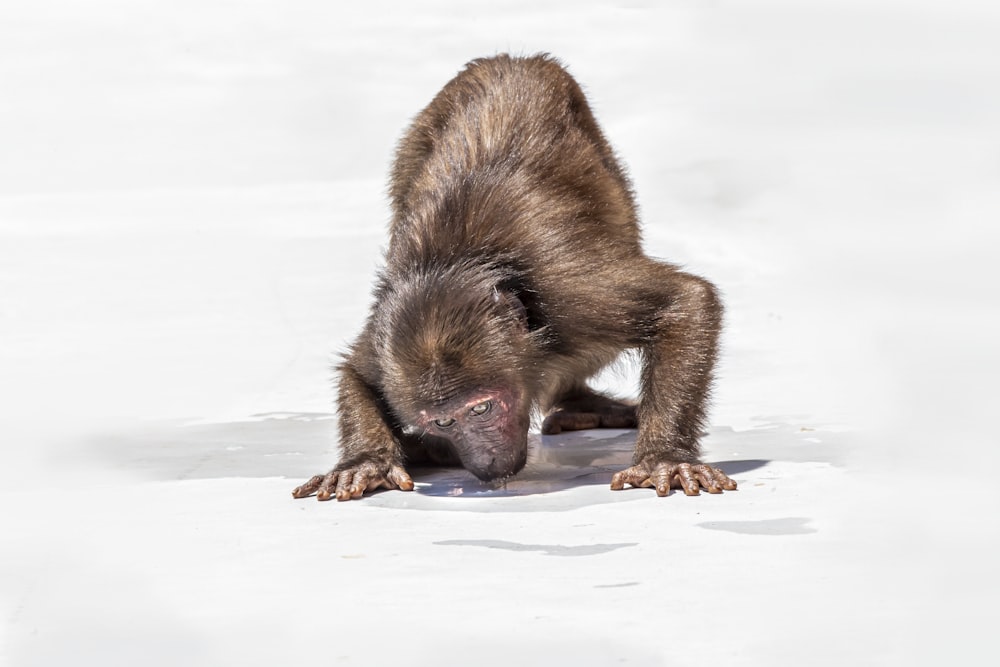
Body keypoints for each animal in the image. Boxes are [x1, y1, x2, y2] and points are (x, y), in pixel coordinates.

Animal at [290, 53, 736, 500]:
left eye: (482, 408)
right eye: (444, 421)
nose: (484, 463)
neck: (457, 263)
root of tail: (509, 59)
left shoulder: (572, 296)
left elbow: (687, 302)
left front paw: (665, 458)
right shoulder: (386, 345)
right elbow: (357, 373)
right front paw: (366, 462)